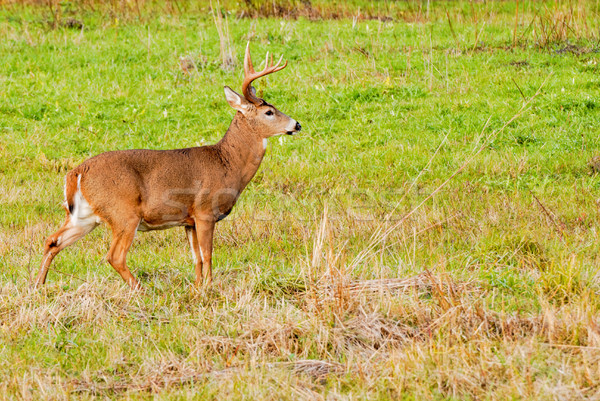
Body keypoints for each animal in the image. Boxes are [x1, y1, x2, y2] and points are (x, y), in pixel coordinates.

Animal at [32, 43, 300, 288]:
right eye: (269, 112)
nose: (297, 124)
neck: (227, 163)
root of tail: (77, 173)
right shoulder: (205, 211)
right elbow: (208, 256)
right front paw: (210, 288)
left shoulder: (188, 221)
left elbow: (196, 259)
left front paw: (197, 288)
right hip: (123, 212)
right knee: (114, 256)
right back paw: (140, 289)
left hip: (84, 215)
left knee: (52, 240)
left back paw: (39, 285)